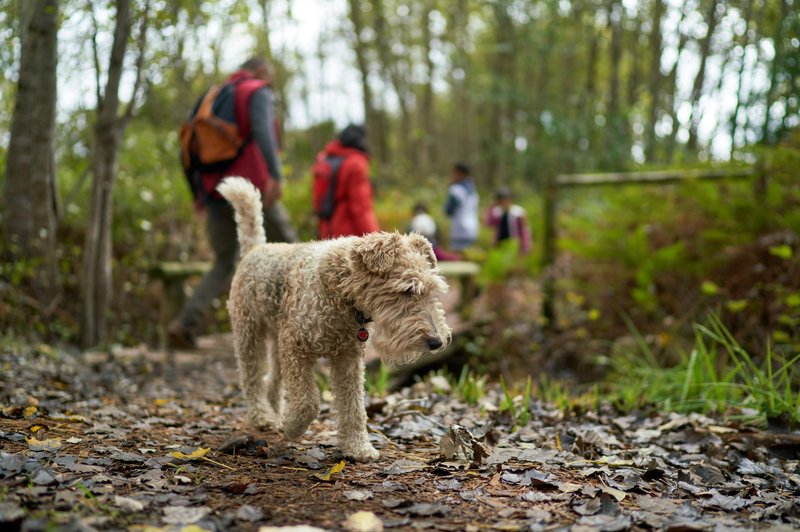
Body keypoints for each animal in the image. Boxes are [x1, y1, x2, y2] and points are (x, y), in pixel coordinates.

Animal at [219, 177, 450, 460]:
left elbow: (354, 408)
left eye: (432, 290)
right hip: (249, 333)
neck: (341, 289)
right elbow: (308, 402)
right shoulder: (296, 347)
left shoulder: (347, 358)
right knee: (251, 378)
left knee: (271, 381)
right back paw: (262, 416)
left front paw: (358, 447)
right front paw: (293, 427)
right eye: (408, 290)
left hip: (276, 339)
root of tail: (256, 248)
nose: (437, 342)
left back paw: (273, 413)